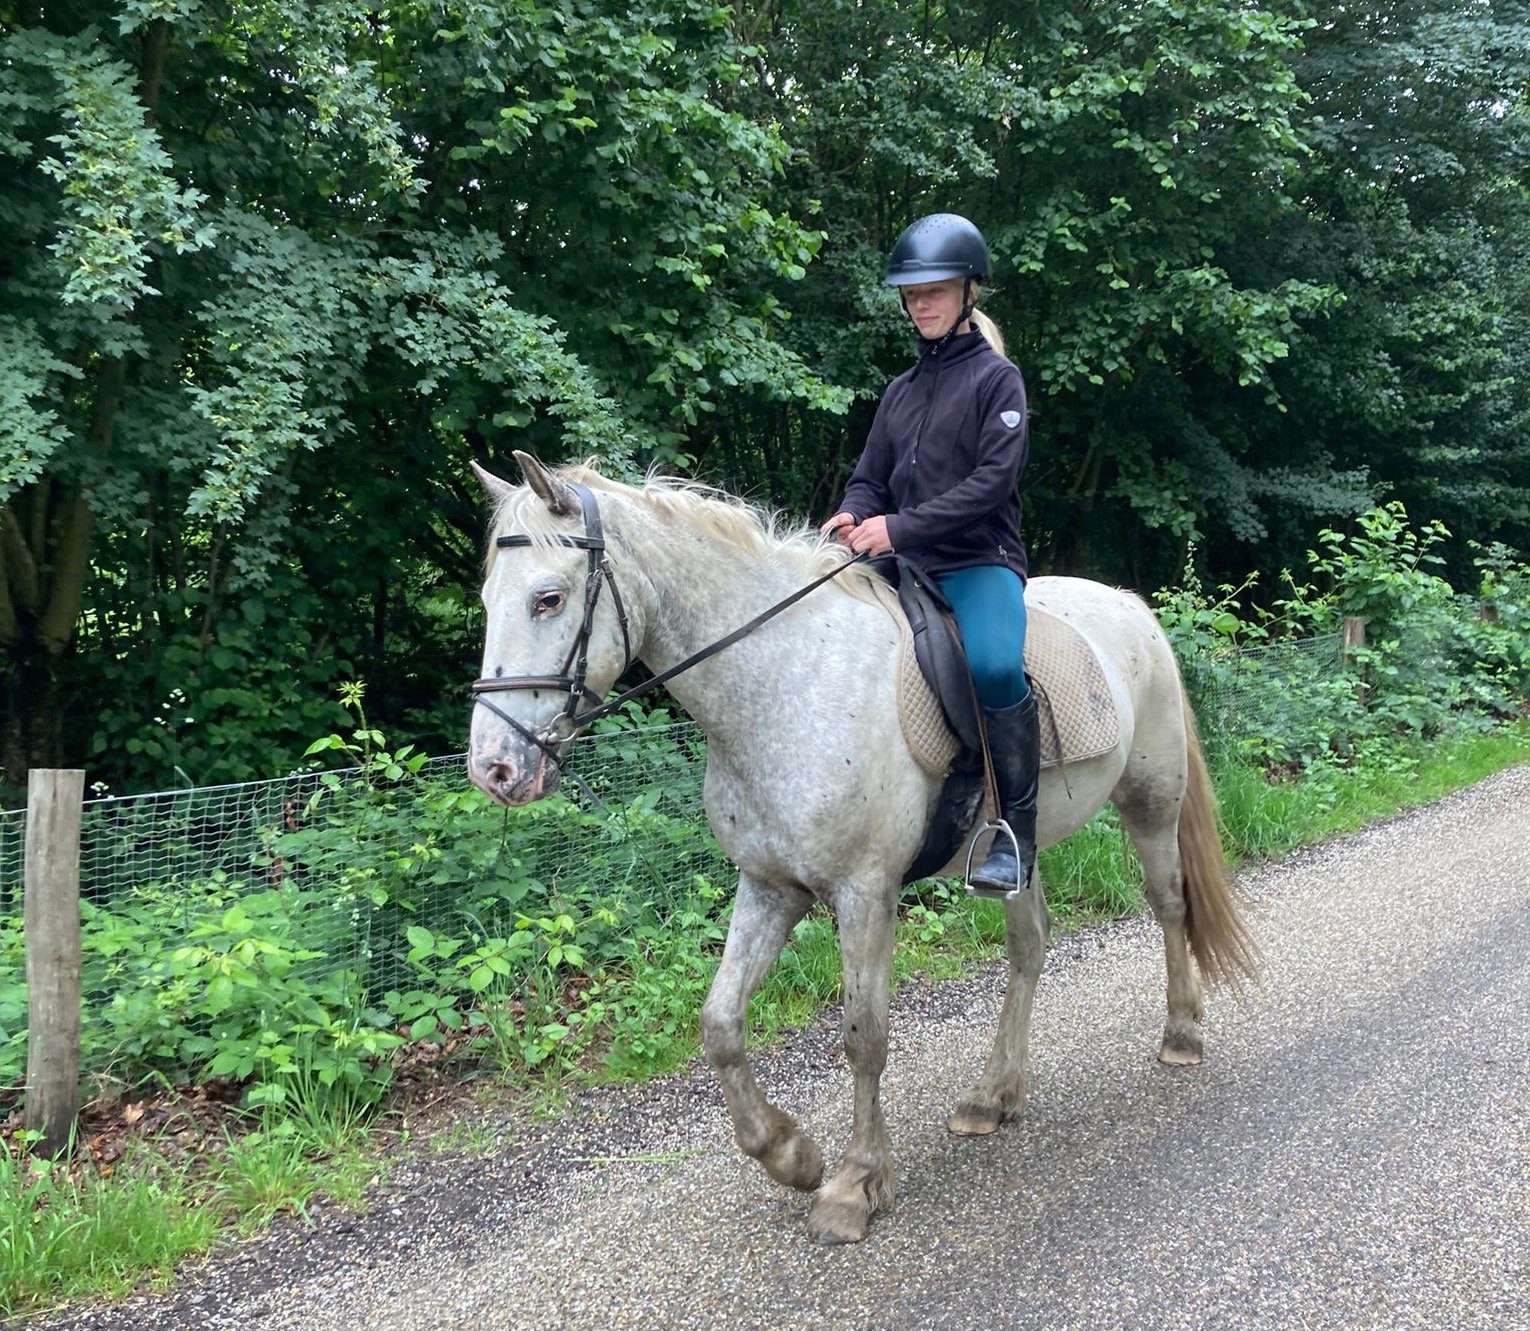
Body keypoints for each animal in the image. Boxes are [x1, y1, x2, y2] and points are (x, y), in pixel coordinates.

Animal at [467, 452, 1256, 1245]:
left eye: (548, 598)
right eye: (487, 598)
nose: (494, 769)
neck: (785, 685)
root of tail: (1131, 606)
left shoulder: (864, 892)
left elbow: (863, 1035)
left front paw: (853, 1185)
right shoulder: (769, 886)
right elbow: (719, 1024)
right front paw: (790, 1155)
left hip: (1151, 802)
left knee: (1169, 904)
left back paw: (1181, 1032)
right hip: (1016, 850)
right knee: (1030, 947)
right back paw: (993, 1095)